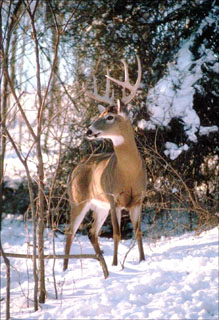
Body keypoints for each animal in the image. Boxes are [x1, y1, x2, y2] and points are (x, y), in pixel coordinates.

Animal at [63, 56, 145, 272]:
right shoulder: (113, 197)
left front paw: (143, 260)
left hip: (99, 206)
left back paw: (101, 260)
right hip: (77, 200)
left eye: (109, 116)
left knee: (92, 232)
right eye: (99, 115)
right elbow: (117, 233)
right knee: (70, 230)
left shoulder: (139, 199)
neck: (129, 173)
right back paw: (65, 269)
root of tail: (75, 169)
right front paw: (116, 264)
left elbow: (138, 231)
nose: (89, 131)